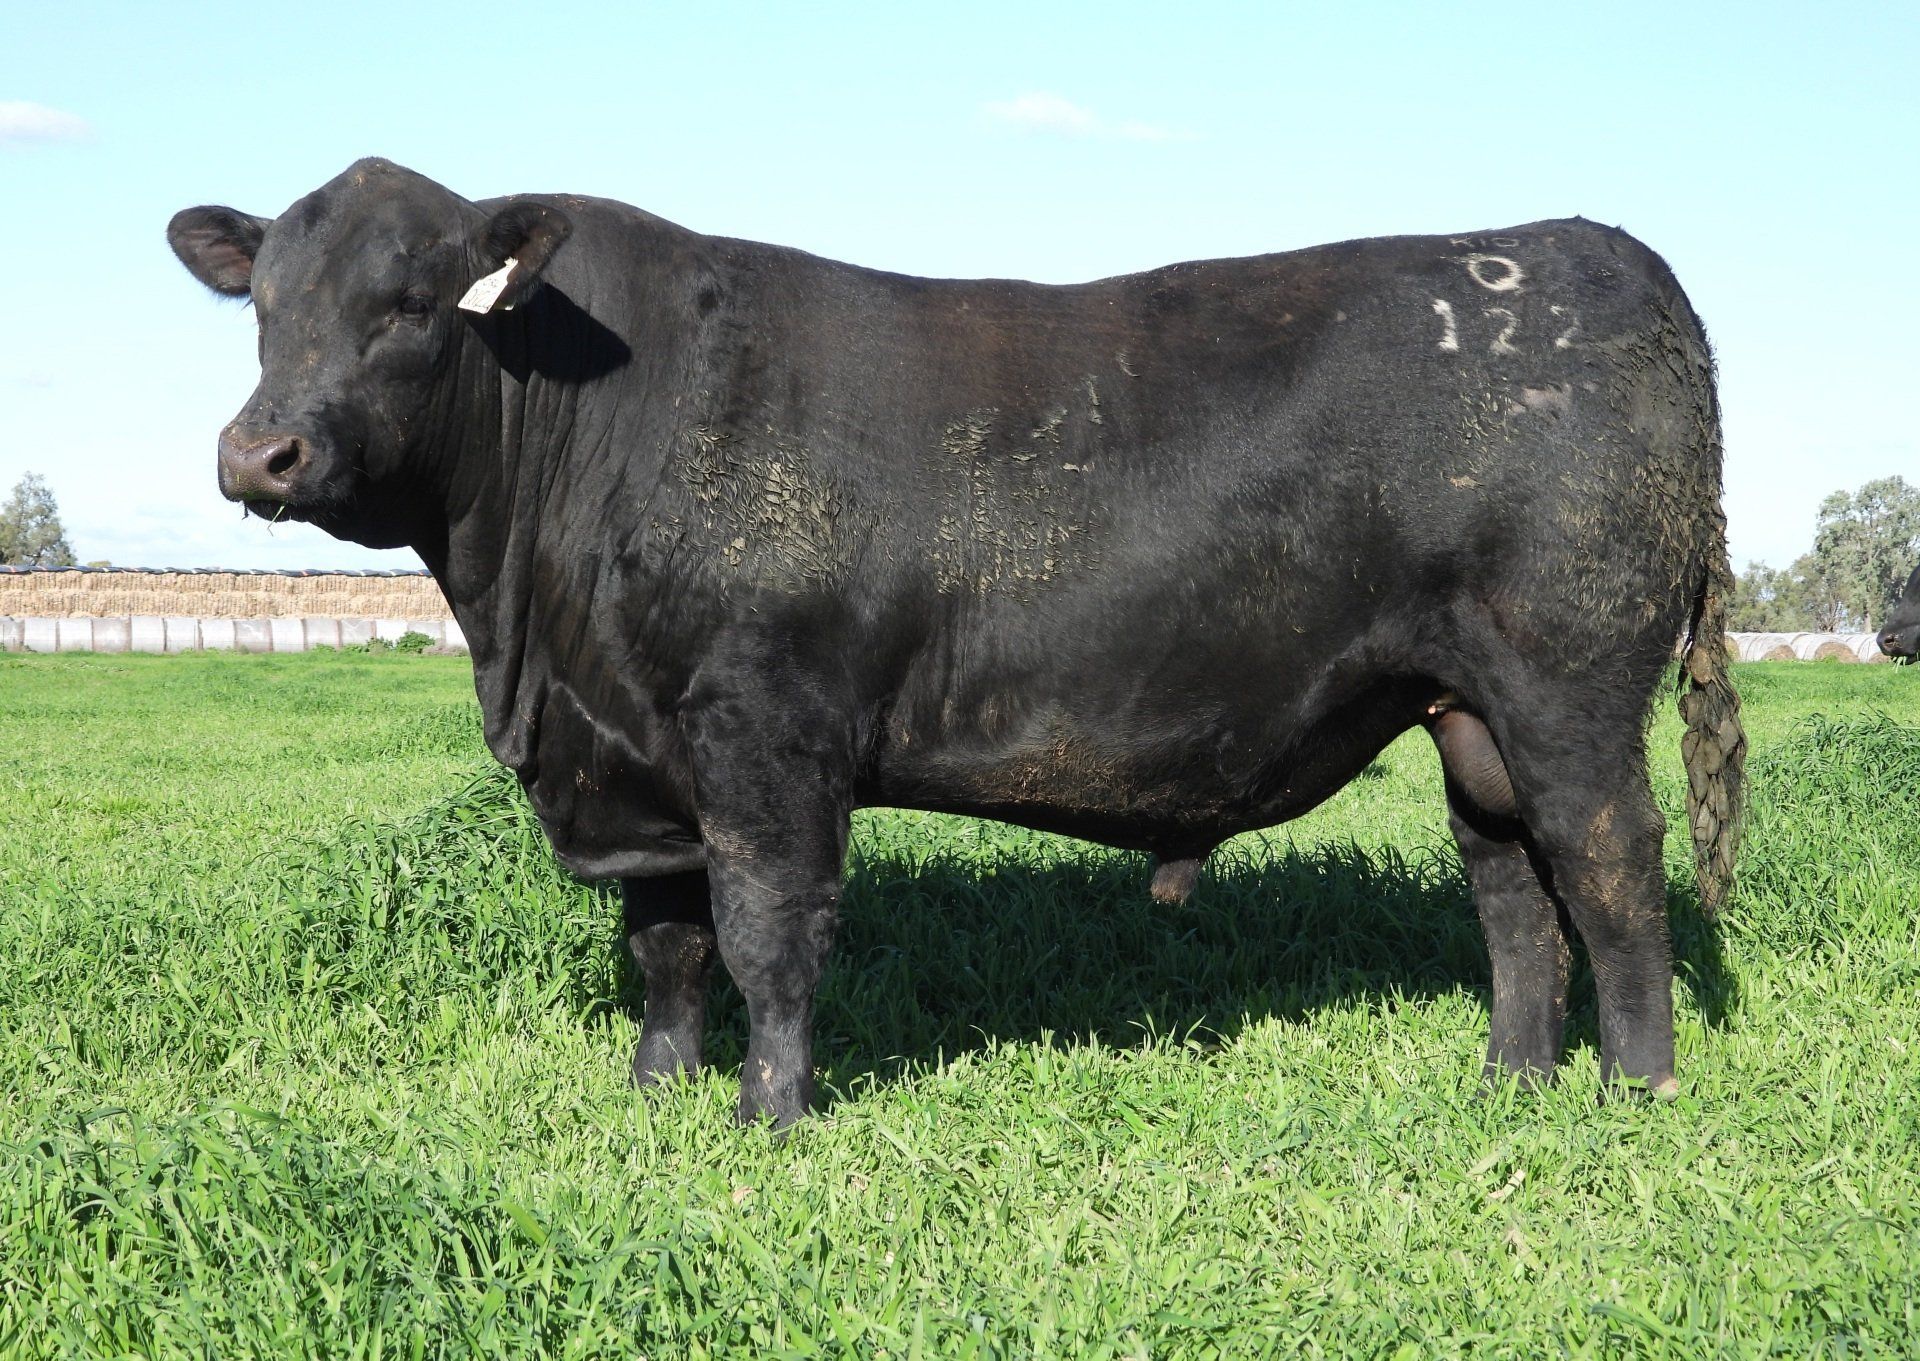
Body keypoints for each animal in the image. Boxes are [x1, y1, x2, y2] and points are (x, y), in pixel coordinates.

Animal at [169, 159, 1746, 1127]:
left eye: (409, 304)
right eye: (262, 307)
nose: (259, 451)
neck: (535, 638)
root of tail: (1599, 253)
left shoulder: (764, 730)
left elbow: (767, 935)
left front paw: (771, 1115)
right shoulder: (635, 753)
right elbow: (667, 945)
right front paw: (656, 1099)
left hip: (1566, 681)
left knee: (1609, 863)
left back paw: (1638, 1096)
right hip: (1461, 706)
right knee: (1512, 888)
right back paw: (1510, 1084)